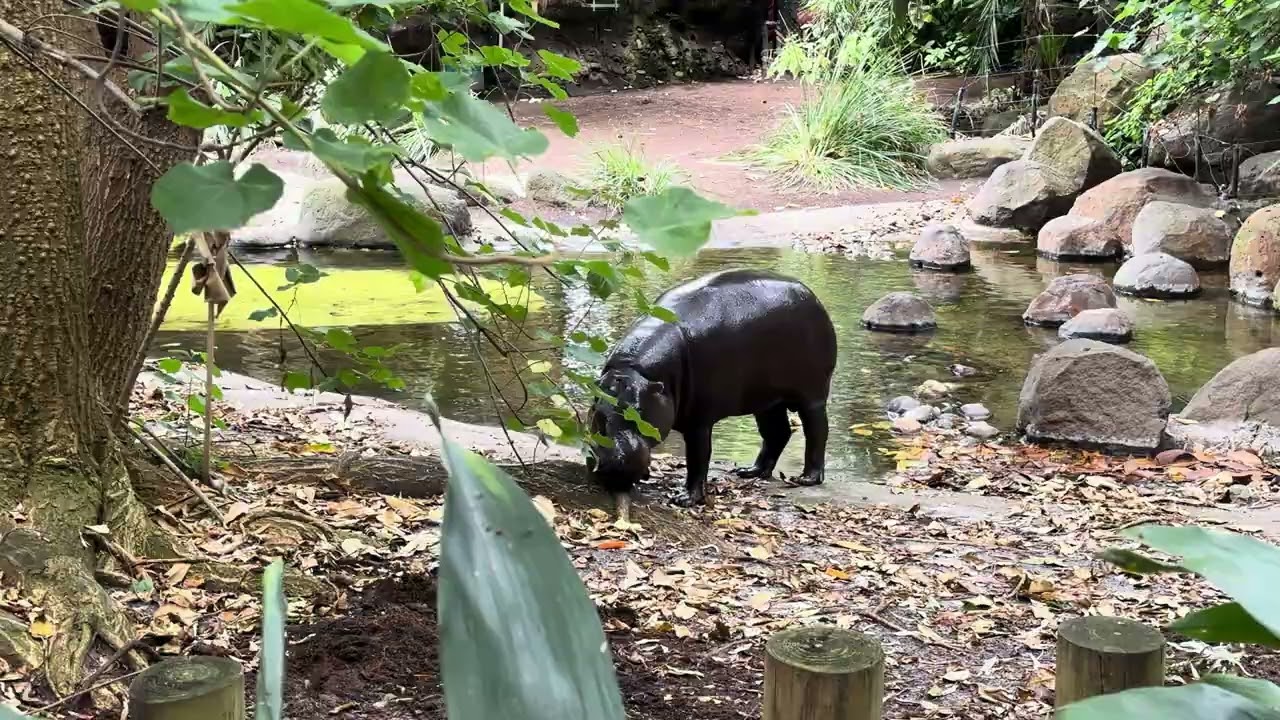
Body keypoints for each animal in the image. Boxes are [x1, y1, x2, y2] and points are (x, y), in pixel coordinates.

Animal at [587, 269, 838, 516]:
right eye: (598, 412)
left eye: (639, 413)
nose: (614, 466)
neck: (636, 371)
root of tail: (810, 293)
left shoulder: (699, 420)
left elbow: (698, 458)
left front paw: (684, 499)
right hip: (766, 400)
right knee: (777, 432)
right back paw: (750, 471)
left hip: (812, 394)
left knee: (817, 431)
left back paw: (806, 478)